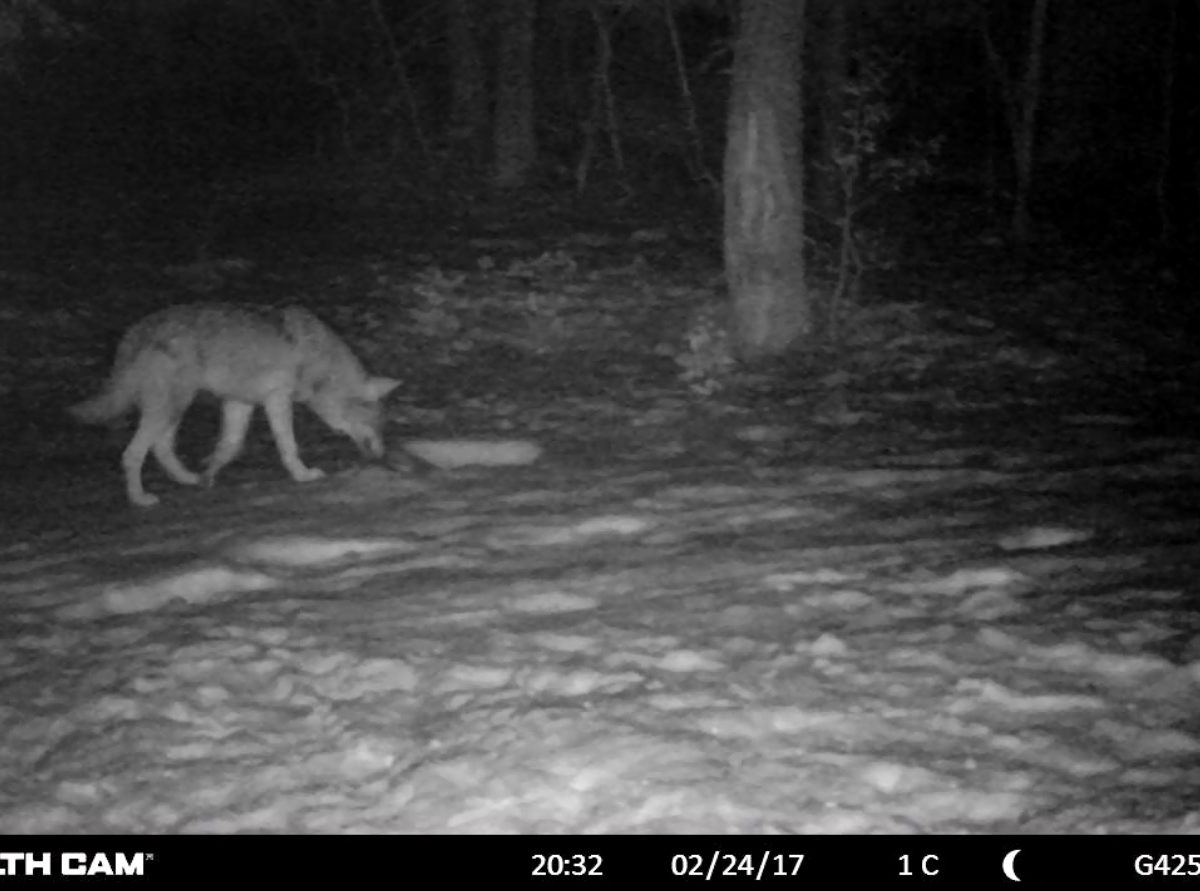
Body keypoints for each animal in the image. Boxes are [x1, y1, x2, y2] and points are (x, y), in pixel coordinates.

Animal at [68, 301, 400, 506]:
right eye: (378, 426)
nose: (381, 456)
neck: (322, 364)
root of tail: (137, 330)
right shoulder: (277, 398)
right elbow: (288, 446)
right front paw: (303, 476)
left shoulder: (239, 403)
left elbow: (230, 445)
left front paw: (208, 474)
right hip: (170, 406)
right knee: (133, 454)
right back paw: (140, 499)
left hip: (174, 407)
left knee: (162, 447)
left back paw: (188, 479)